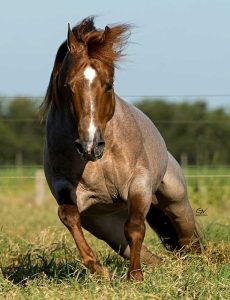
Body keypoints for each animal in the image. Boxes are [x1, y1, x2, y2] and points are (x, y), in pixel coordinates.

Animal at [42, 17, 200, 282]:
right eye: (68, 86)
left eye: (108, 85)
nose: (90, 145)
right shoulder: (68, 189)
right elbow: (68, 216)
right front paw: (98, 269)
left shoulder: (139, 184)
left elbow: (135, 227)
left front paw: (135, 276)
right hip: (105, 225)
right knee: (146, 253)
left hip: (175, 201)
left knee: (190, 239)